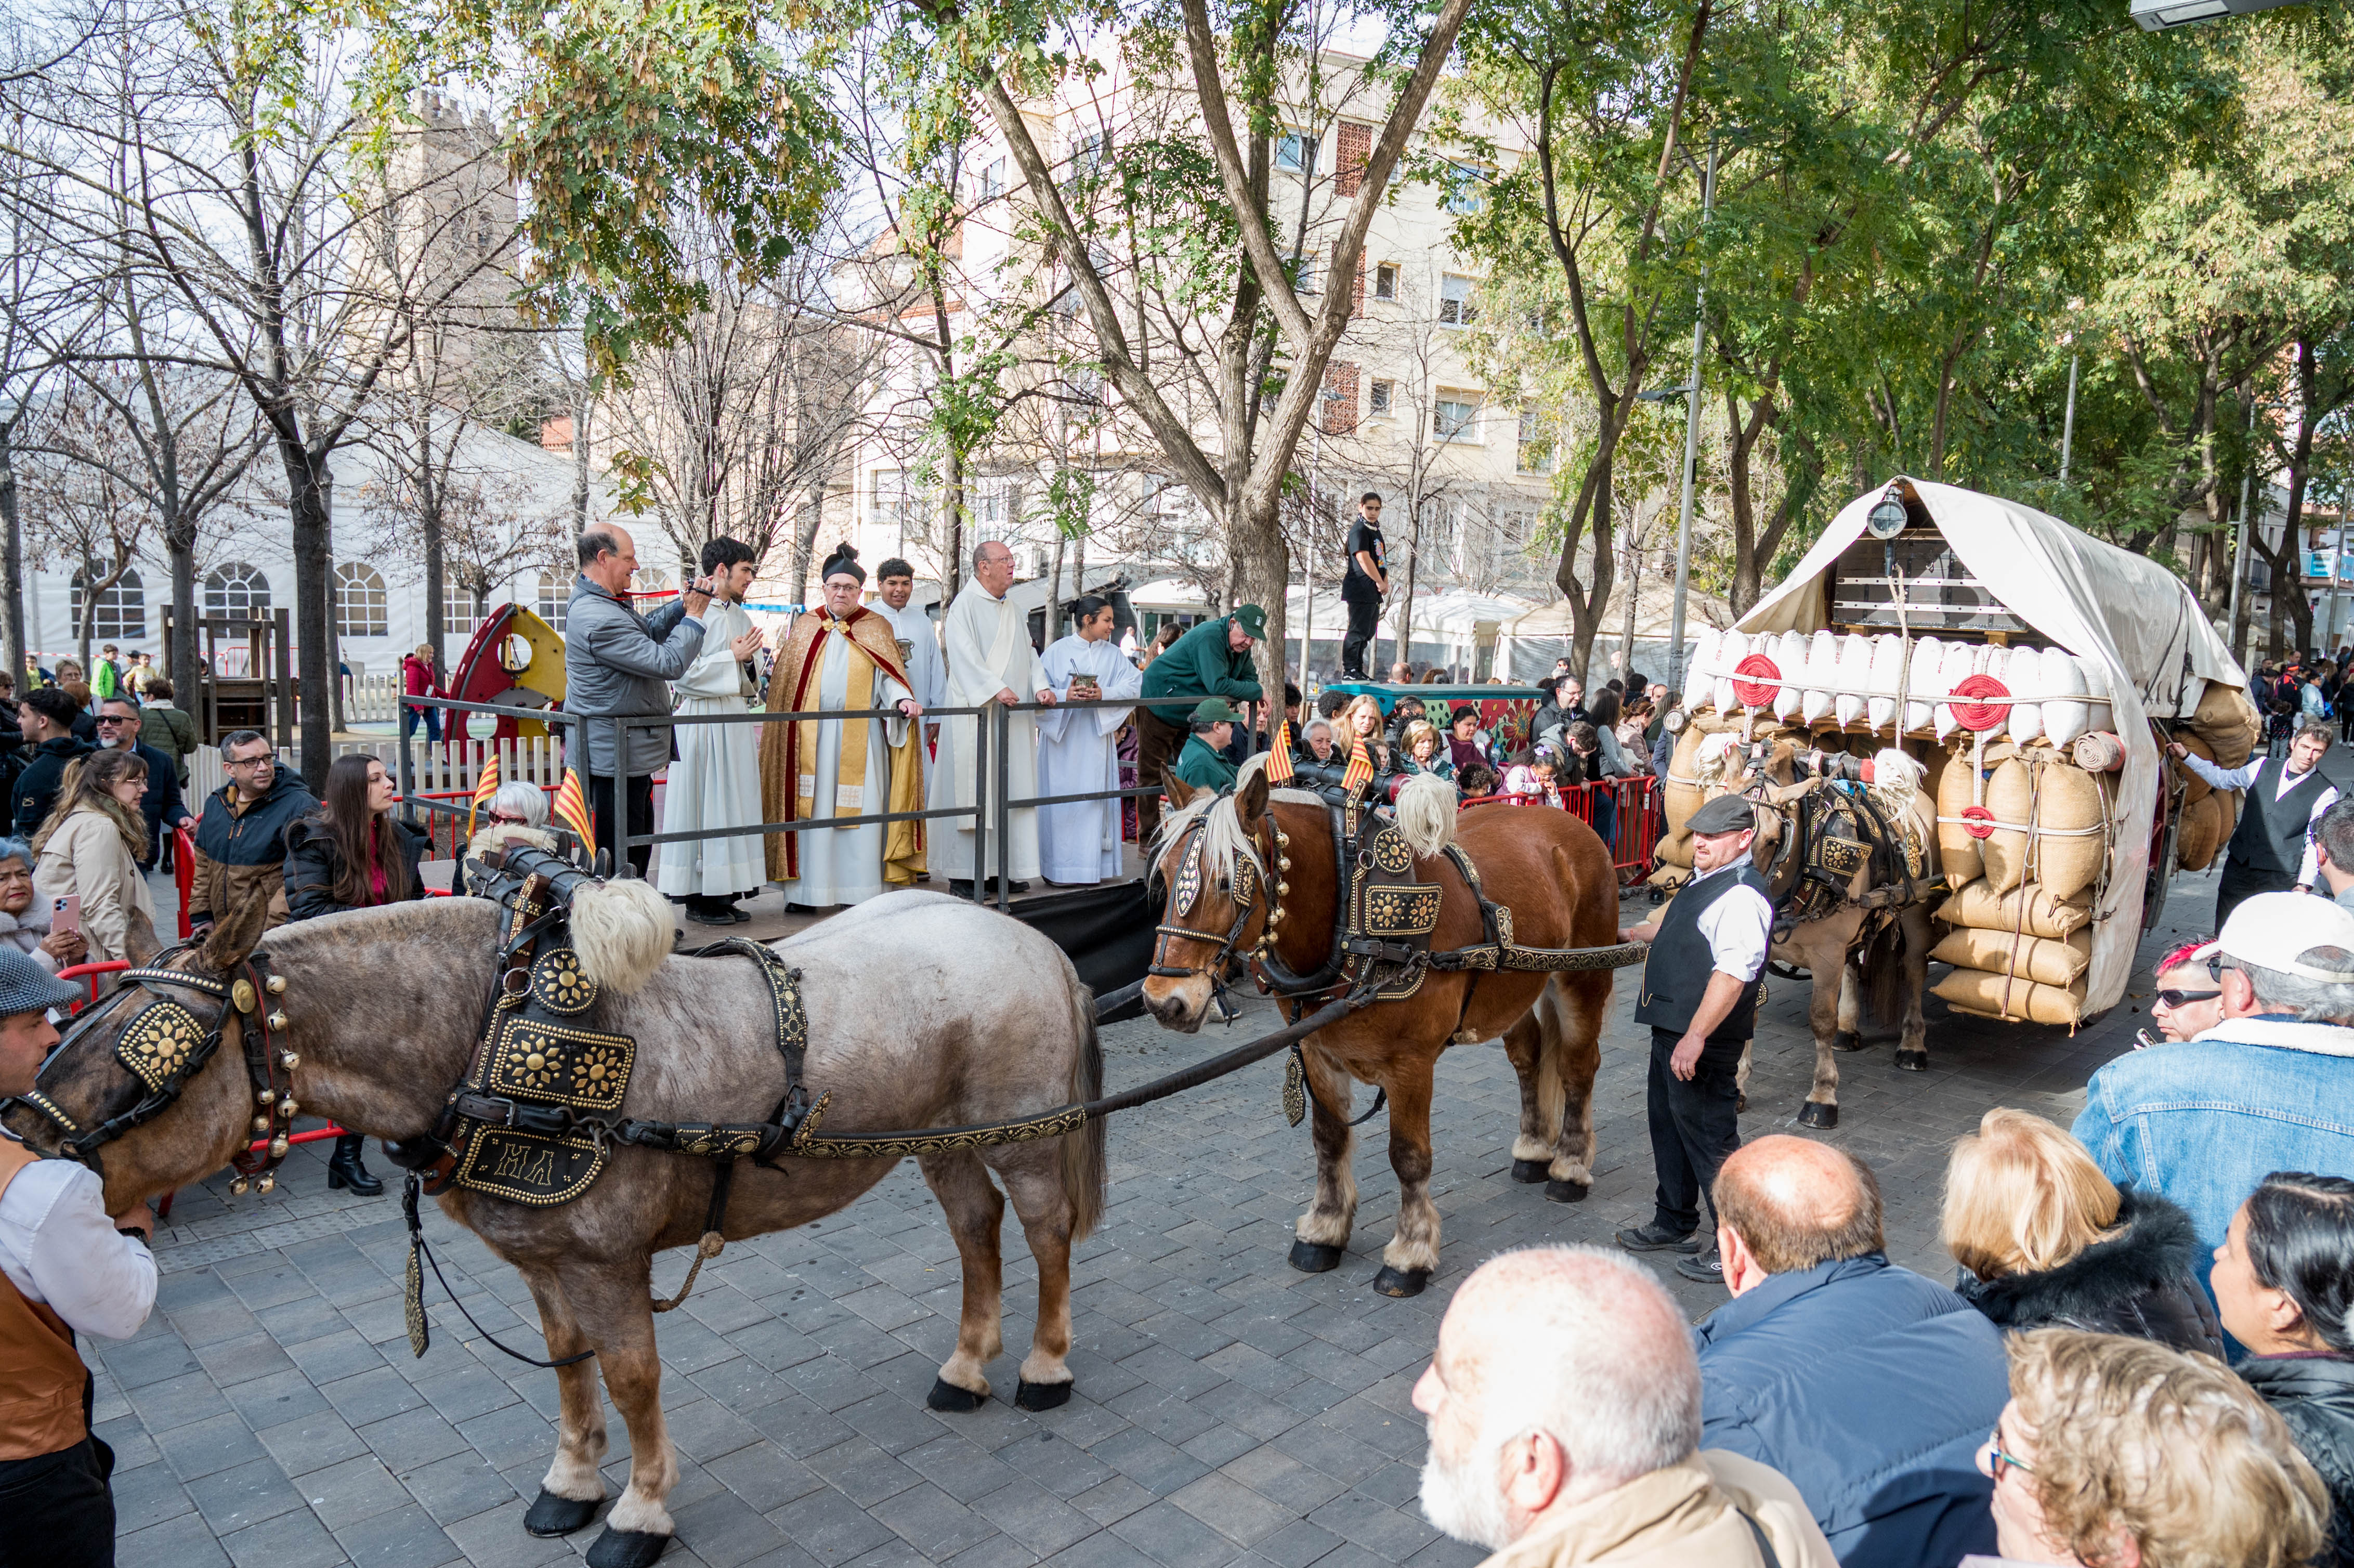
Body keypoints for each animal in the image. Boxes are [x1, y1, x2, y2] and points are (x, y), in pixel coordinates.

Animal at [4, 885, 1106, 1553]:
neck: (492, 1040)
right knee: (973, 1230)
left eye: (143, 1064)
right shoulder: (547, 1263)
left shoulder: (609, 1261)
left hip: (1020, 1134)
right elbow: (571, 1375)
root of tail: (1028, 937)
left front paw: (640, 1509)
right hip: (942, 1139)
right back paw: (964, 1366)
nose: (20, 1144)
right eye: (79, 1026)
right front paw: (573, 1484)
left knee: (1043, 1231)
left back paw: (1044, 1363)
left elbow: (631, 1379)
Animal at [1139, 758, 1619, 1290]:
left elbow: (1409, 1156)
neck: (1353, 919)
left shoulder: (1411, 1064)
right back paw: (1533, 1150)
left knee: (1578, 1068)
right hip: (1513, 988)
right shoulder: (1317, 1052)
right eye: (1164, 875)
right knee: (1529, 1056)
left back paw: (1569, 1166)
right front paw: (1324, 1231)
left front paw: (1410, 1253)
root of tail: (1567, 821)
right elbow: (1328, 1140)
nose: (1164, 1002)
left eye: (1227, 881)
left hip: (1582, 976)